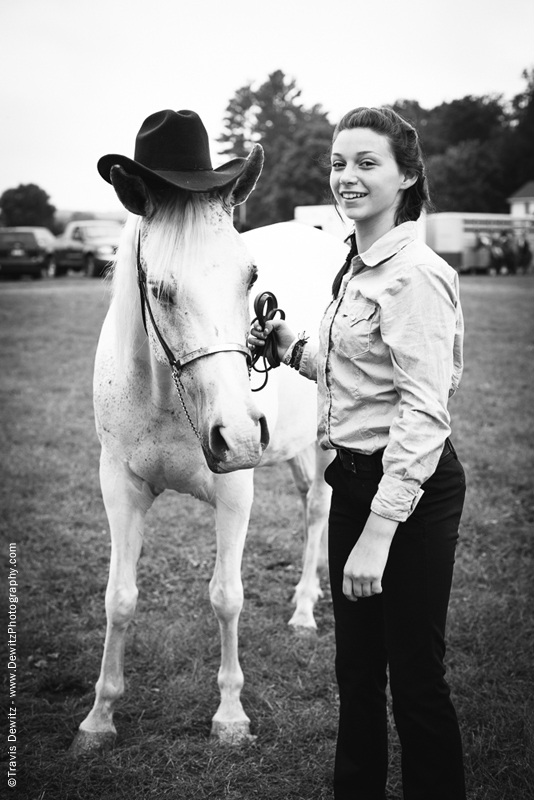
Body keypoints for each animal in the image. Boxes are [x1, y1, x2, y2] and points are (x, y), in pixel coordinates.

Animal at [70, 152, 348, 756]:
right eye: (159, 289)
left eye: (250, 277)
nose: (239, 435)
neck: (167, 398)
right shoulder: (119, 488)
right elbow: (118, 599)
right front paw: (99, 717)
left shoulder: (234, 492)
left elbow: (226, 598)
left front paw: (230, 715)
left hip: (320, 444)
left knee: (319, 510)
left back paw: (304, 609)